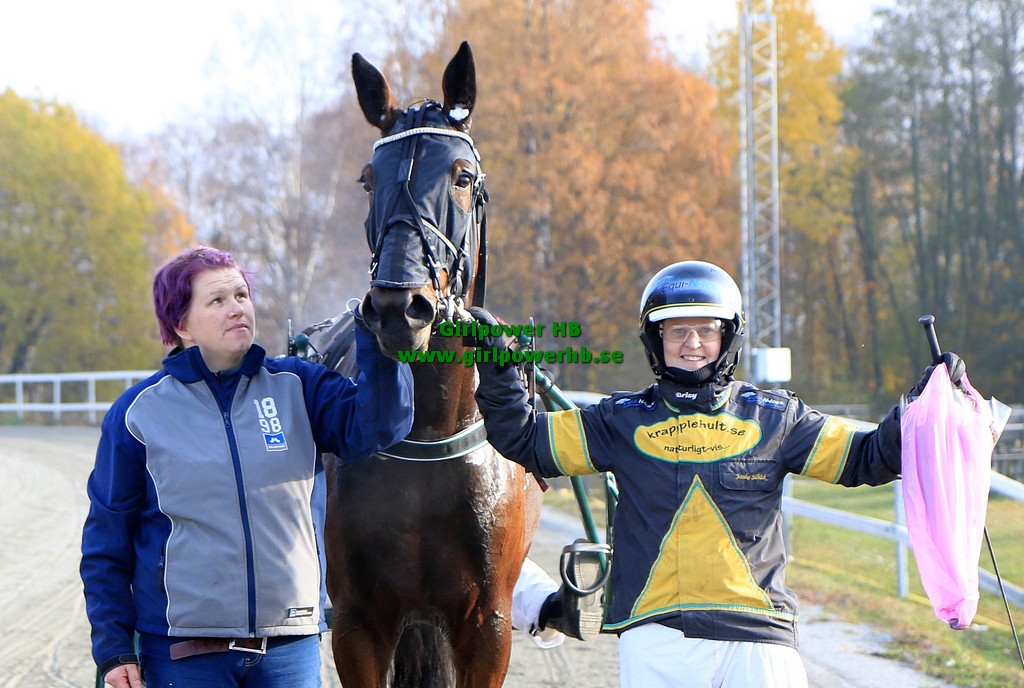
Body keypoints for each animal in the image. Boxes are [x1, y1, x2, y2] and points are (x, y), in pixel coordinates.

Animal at [323, 42, 544, 688]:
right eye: (369, 180)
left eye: (463, 177)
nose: (400, 306)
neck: (428, 431)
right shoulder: (357, 620)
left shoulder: (488, 625)